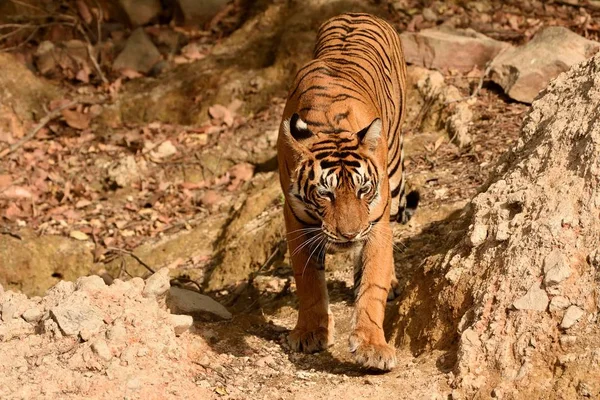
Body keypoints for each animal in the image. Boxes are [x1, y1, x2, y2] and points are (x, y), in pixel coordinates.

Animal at [276, 12, 418, 372]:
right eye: (325, 194)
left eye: (364, 190)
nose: (349, 234)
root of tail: (359, 13)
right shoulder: (296, 219)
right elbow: (308, 280)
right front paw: (310, 332)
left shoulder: (376, 220)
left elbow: (372, 282)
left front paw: (372, 346)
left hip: (395, 171)